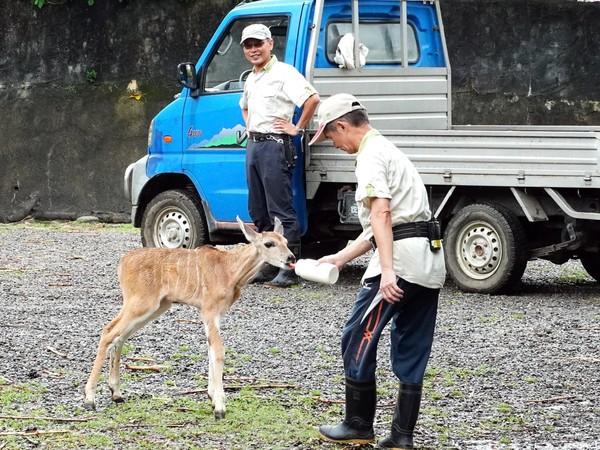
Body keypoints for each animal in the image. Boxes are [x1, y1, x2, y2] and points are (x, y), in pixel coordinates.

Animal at [84, 216, 296, 420]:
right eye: (269, 243)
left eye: (285, 241)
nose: (291, 258)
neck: (229, 270)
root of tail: (122, 263)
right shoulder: (209, 310)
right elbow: (218, 350)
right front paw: (220, 408)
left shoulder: (215, 313)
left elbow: (210, 348)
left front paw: (212, 398)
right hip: (140, 303)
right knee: (109, 331)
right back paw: (90, 399)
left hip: (157, 306)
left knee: (119, 336)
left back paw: (116, 393)